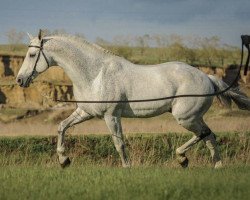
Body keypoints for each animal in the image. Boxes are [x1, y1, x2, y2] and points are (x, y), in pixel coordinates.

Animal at [16, 30, 250, 169]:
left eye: (31, 55)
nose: (19, 80)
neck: (95, 74)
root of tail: (208, 77)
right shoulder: (86, 112)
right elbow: (61, 127)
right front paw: (64, 160)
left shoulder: (111, 116)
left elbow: (119, 143)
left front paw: (127, 168)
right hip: (193, 117)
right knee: (210, 136)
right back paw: (216, 166)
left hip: (185, 117)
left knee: (204, 134)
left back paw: (182, 158)